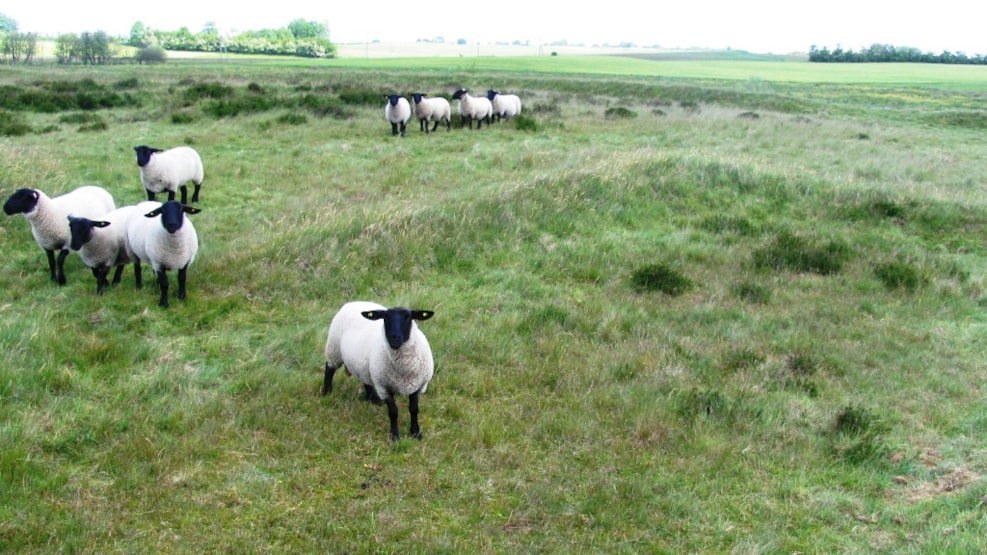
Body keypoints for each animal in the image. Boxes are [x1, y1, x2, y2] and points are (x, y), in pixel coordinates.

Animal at [324, 302, 436, 440]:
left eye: (408, 317)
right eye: (385, 318)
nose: (394, 338)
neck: (403, 368)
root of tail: (353, 302)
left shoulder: (418, 386)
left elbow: (414, 409)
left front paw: (416, 433)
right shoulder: (384, 387)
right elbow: (393, 412)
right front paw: (394, 436)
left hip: (364, 364)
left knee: (365, 379)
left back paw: (373, 399)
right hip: (334, 350)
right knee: (329, 369)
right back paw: (326, 392)